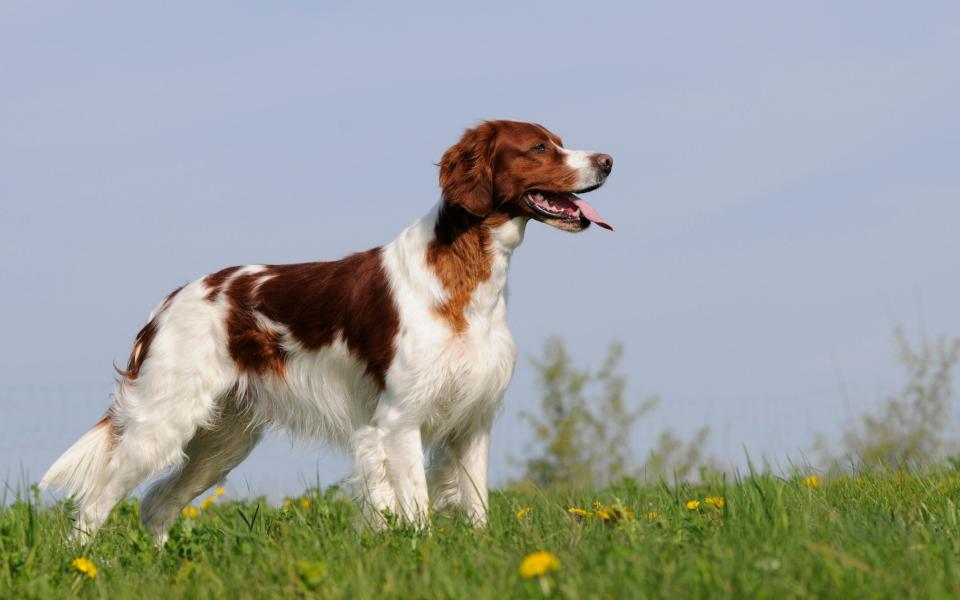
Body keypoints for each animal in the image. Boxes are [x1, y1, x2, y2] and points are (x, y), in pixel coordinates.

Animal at [41, 118, 616, 544]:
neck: (463, 277)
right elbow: (418, 509)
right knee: (95, 503)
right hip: (162, 422)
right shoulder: (399, 421)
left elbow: (476, 507)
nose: (609, 161)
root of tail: (170, 300)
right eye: (539, 147)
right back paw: (84, 566)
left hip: (221, 439)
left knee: (156, 504)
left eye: (560, 141)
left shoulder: (473, 421)